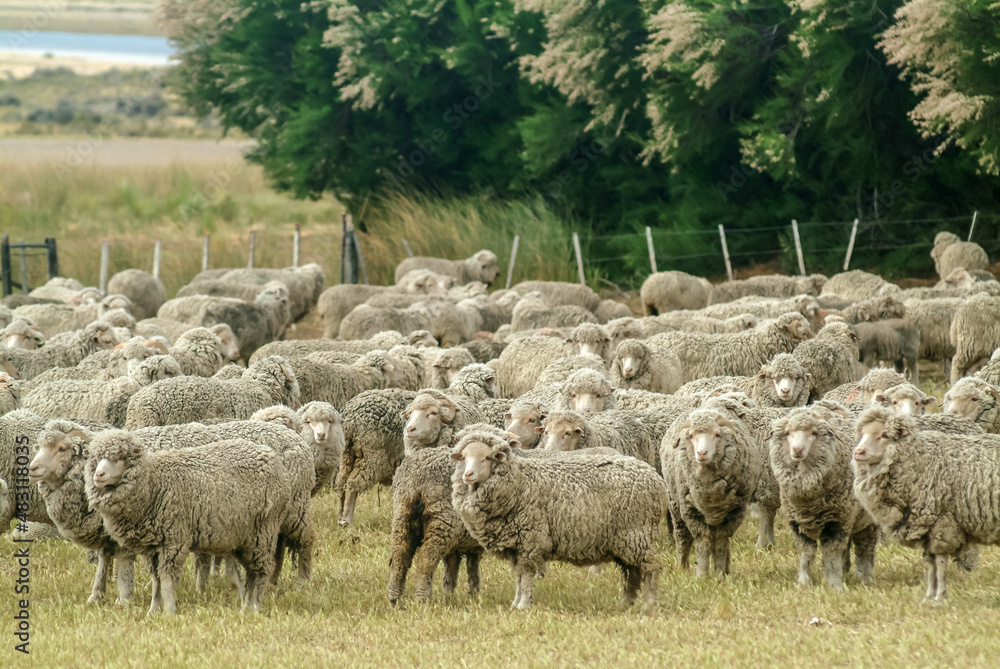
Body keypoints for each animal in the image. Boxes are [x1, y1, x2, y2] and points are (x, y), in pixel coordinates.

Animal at [85, 431, 290, 614]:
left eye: (120, 457)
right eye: (97, 458)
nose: (99, 474)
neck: (153, 484)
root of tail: (271, 455)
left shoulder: (173, 540)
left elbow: (166, 578)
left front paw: (169, 612)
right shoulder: (152, 547)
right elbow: (156, 579)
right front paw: (153, 611)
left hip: (264, 531)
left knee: (262, 570)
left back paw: (255, 608)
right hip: (245, 538)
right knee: (251, 571)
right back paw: (245, 608)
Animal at [451, 428, 667, 609]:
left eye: (487, 458)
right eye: (464, 457)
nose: (468, 475)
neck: (519, 483)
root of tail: (655, 477)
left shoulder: (530, 540)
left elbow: (526, 576)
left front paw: (523, 606)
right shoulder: (515, 546)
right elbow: (519, 577)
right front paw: (515, 603)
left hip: (637, 533)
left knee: (652, 567)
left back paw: (649, 604)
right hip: (626, 540)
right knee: (634, 571)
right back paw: (627, 603)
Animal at [661, 408, 760, 579]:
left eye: (717, 434)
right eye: (691, 435)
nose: (702, 453)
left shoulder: (734, 513)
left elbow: (720, 543)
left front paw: (719, 574)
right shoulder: (692, 512)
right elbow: (703, 543)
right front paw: (702, 575)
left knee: (725, 542)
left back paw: (726, 569)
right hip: (675, 504)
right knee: (682, 537)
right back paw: (682, 567)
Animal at [769, 407, 877, 589]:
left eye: (814, 433)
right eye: (788, 433)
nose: (797, 450)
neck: (807, 503)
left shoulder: (837, 521)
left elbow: (831, 553)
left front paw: (835, 585)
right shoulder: (797, 523)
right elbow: (807, 554)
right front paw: (803, 582)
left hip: (869, 520)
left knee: (865, 547)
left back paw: (866, 577)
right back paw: (846, 570)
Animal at [852, 408, 1000, 602]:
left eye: (884, 434)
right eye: (862, 433)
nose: (858, 452)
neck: (920, 461)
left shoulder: (943, 524)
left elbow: (940, 562)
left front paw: (939, 597)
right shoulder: (929, 528)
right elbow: (931, 564)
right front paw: (930, 595)